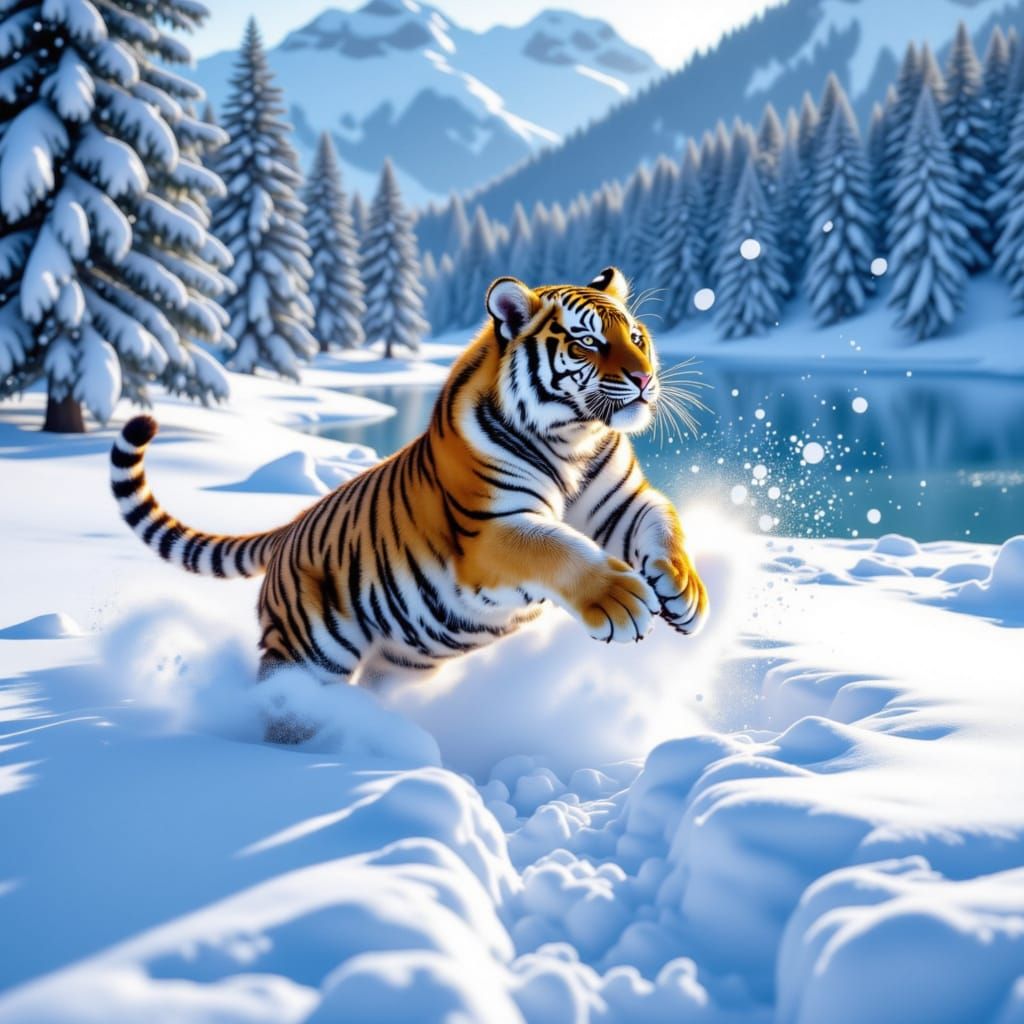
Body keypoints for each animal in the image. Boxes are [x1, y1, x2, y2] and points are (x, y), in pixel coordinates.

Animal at [110, 266, 709, 686]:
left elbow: (665, 526)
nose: (645, 378)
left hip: (406, 658)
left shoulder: (624, 502)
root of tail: (286, 530)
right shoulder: (490, 529)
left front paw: (685, 593)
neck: (574, 439)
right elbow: (558, 546)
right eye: (587, 341)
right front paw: (621, 598)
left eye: (637, 337)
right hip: (308, 650)